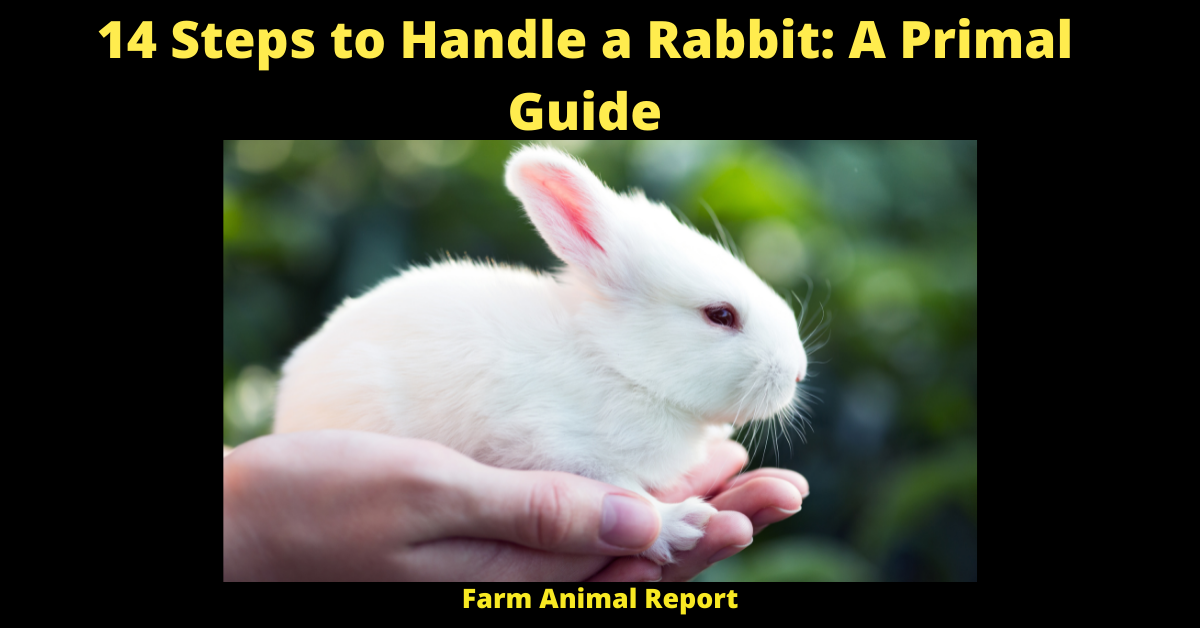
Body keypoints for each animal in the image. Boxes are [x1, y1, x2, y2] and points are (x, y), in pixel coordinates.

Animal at [273, 145, 808, 565]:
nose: (798, 373)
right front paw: (680, 523)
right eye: (720, 315)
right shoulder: (553, 444)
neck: (615, 364)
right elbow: (623, 490)